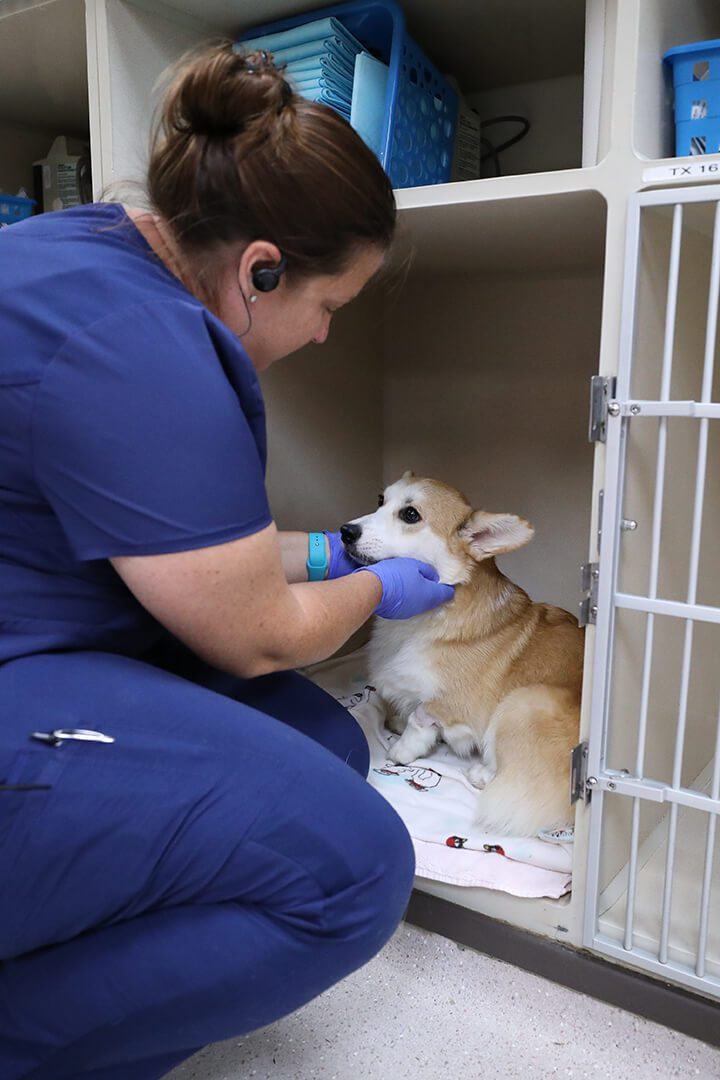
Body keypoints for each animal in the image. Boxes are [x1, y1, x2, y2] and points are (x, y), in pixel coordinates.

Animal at [343, 473, 587, 833]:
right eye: (380, 500)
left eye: (410, 514)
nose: (345, 531)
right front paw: (395, 722)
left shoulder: (446, 704)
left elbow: (420, 721)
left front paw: (401, 751)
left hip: (522, 702)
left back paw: (482, 773)